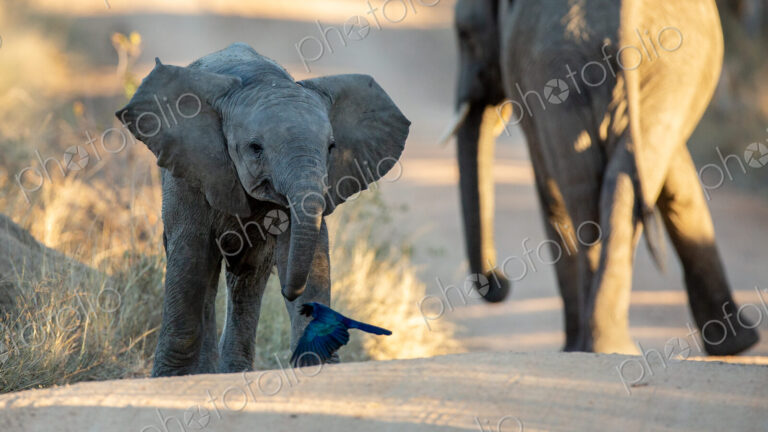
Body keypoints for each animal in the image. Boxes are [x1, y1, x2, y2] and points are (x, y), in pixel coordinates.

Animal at [116, 43, 409, 376]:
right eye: (255, 148)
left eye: (332, 147)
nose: (290, 294)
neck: (263, 79)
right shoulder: (190, 172)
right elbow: (190, 256)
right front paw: (170, 377)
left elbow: (307, 251)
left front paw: (318, 361)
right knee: (207, 272)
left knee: (247, 277)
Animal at [445, 0, 759, 354]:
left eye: (464, 34)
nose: (499, 281)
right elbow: (672, 176)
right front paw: (738, 345)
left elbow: (549, 188)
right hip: (653, 68)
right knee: (605, 188)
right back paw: (608, 345)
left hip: (576, 69)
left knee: (580, 193)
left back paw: (594, 345)